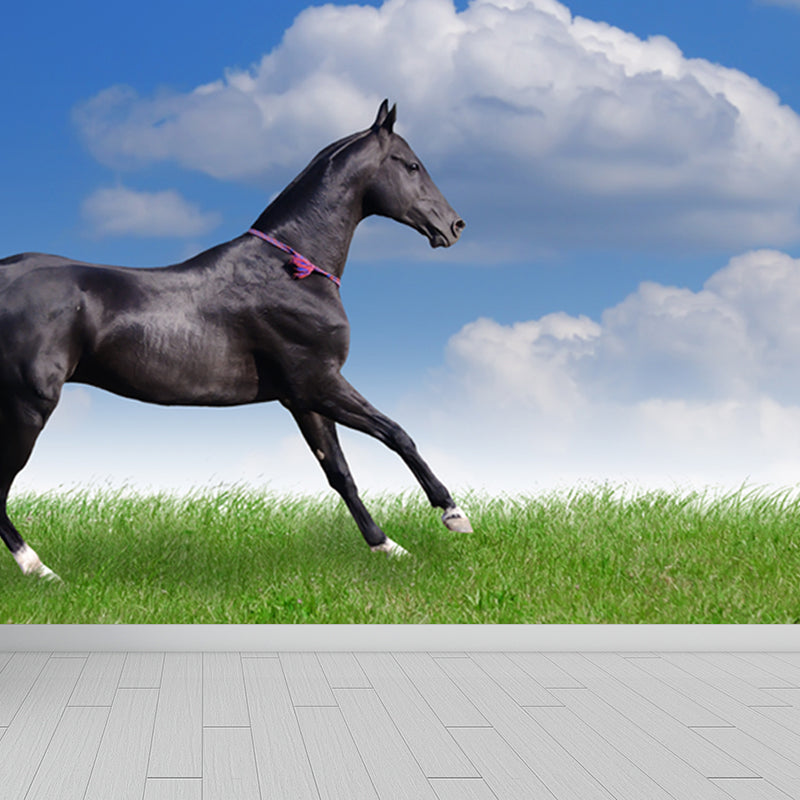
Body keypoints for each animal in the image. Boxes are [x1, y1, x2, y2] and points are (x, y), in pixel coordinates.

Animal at [0, 100, 472, 580]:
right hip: (28, 406)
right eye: (411, 164)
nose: (455, 225)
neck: (292, 271)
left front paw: (387, 546)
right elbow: (397, 434)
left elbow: (340, 473)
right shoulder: (320, 382)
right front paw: (454, 514)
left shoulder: (301, 398)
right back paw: (39, 569)